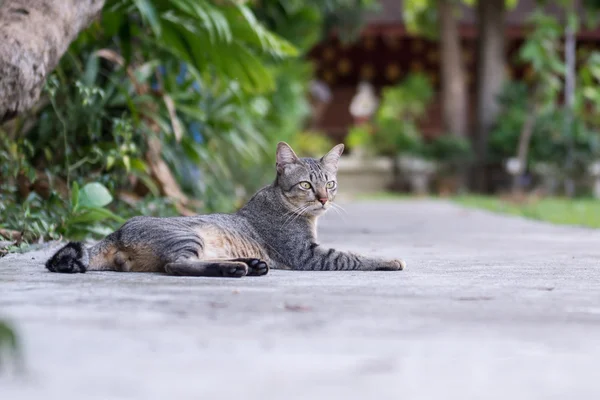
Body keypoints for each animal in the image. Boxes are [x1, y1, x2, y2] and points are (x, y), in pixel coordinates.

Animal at [44, 142, 406, 276]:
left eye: (329, 184)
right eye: (306, 185)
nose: (323, 200)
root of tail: (116, 232)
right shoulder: (308, 254)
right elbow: (353, 256)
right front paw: (390, 259)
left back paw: (251, 264)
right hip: (188, 237)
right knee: (176, 265)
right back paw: (234, 269)